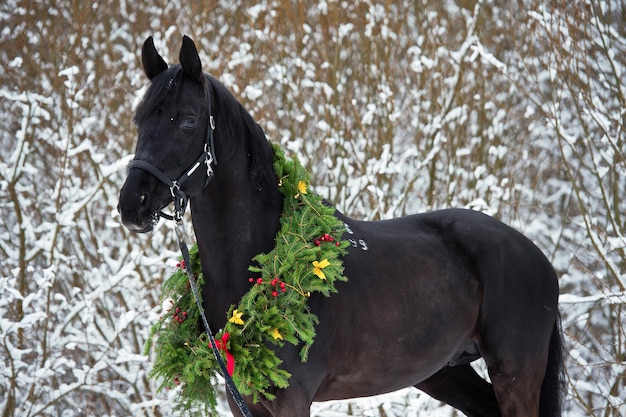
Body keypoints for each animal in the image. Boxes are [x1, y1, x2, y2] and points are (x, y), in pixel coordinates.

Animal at [117, 36, 560, 416]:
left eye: (188, 122)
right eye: (138, 120)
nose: (131, 205)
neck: (256, 260)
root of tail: (536, 256)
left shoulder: (292, 401)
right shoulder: (242, 400)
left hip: (515, 374)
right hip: (446, 372)